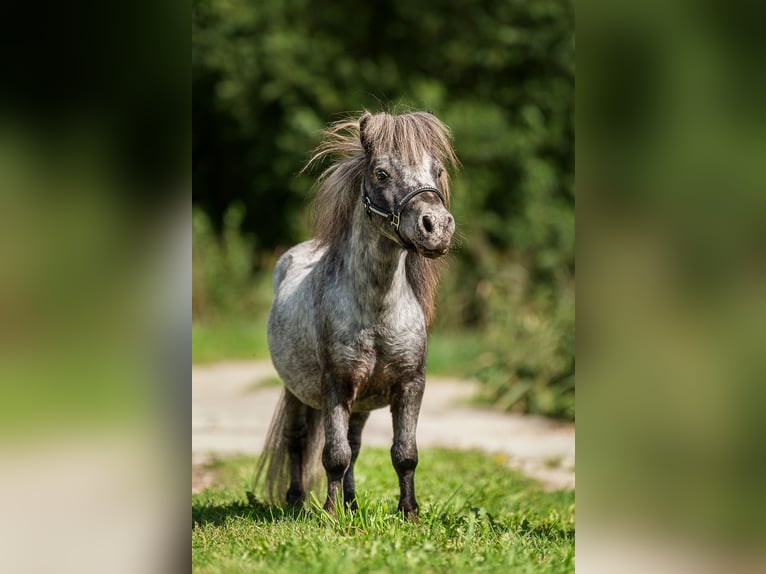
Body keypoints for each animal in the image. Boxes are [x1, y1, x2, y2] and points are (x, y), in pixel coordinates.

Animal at [258, 110, 460, 524]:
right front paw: (332, 516)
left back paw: (352, 503)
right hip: (297, 392)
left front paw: (409, 514)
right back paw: (297, 500)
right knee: (298, 441)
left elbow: (404, 454)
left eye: (437, 170)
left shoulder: (410, 386)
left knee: (354, 444)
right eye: (381, 173)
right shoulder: (335, 385)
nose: (437, 227)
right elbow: (334, 455)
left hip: (362, 402)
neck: (378, 312)